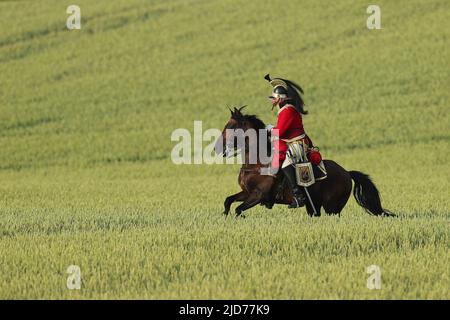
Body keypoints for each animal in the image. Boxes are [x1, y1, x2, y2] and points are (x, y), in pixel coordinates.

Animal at [214, 106, 394, 219]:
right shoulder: (246, 192)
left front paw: (240, 217)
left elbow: (238, 209)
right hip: (314, 206)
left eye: (231, 127)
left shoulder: (258, 195)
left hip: (332, 207)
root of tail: (346, 173)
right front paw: (224, 216)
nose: (217, 148)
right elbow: (228, 201)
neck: (256, 164)